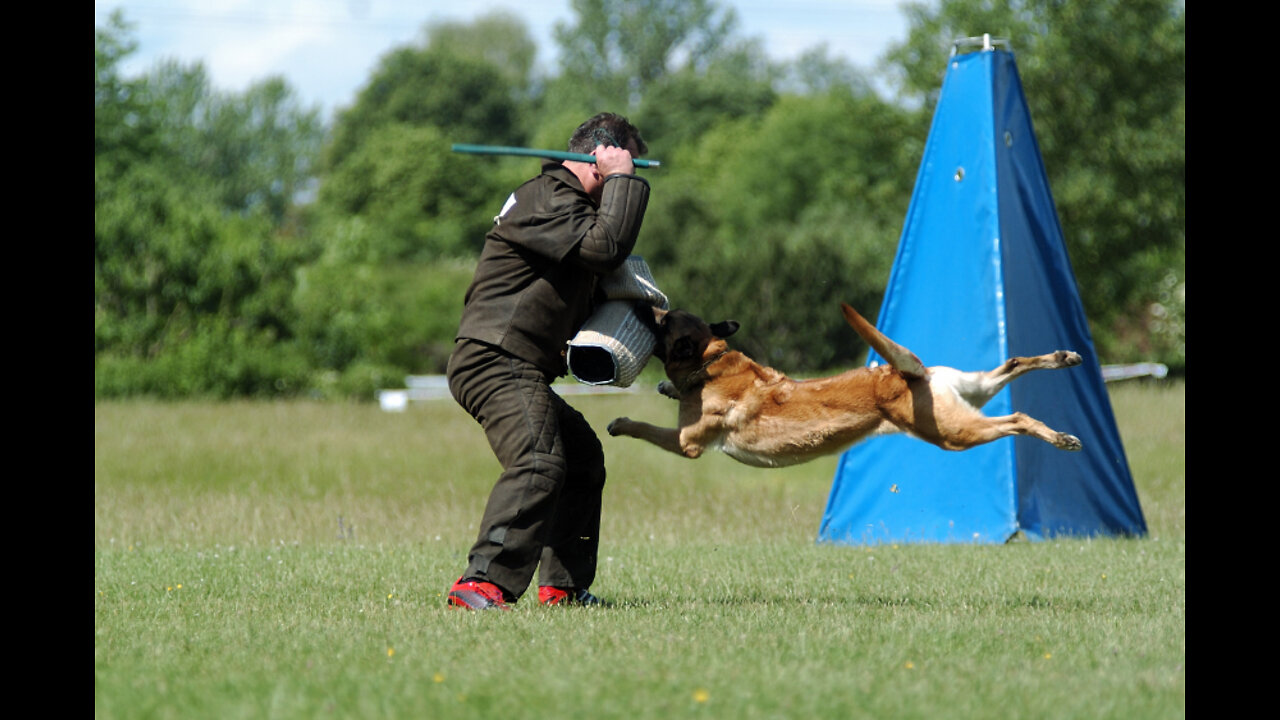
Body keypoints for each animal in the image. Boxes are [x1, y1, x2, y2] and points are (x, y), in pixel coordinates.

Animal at [606, 301, 1080, 466]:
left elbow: (645, 428)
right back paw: (1062, 357)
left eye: (662, 320)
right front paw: (666, 388)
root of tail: (908, 372)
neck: (713, 359)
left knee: (1017, 418)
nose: (642, 306)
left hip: (953, 432)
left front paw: (621, 423)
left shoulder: (687, 442)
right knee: (1013, 363)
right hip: (967, 394)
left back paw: (1061, 437)